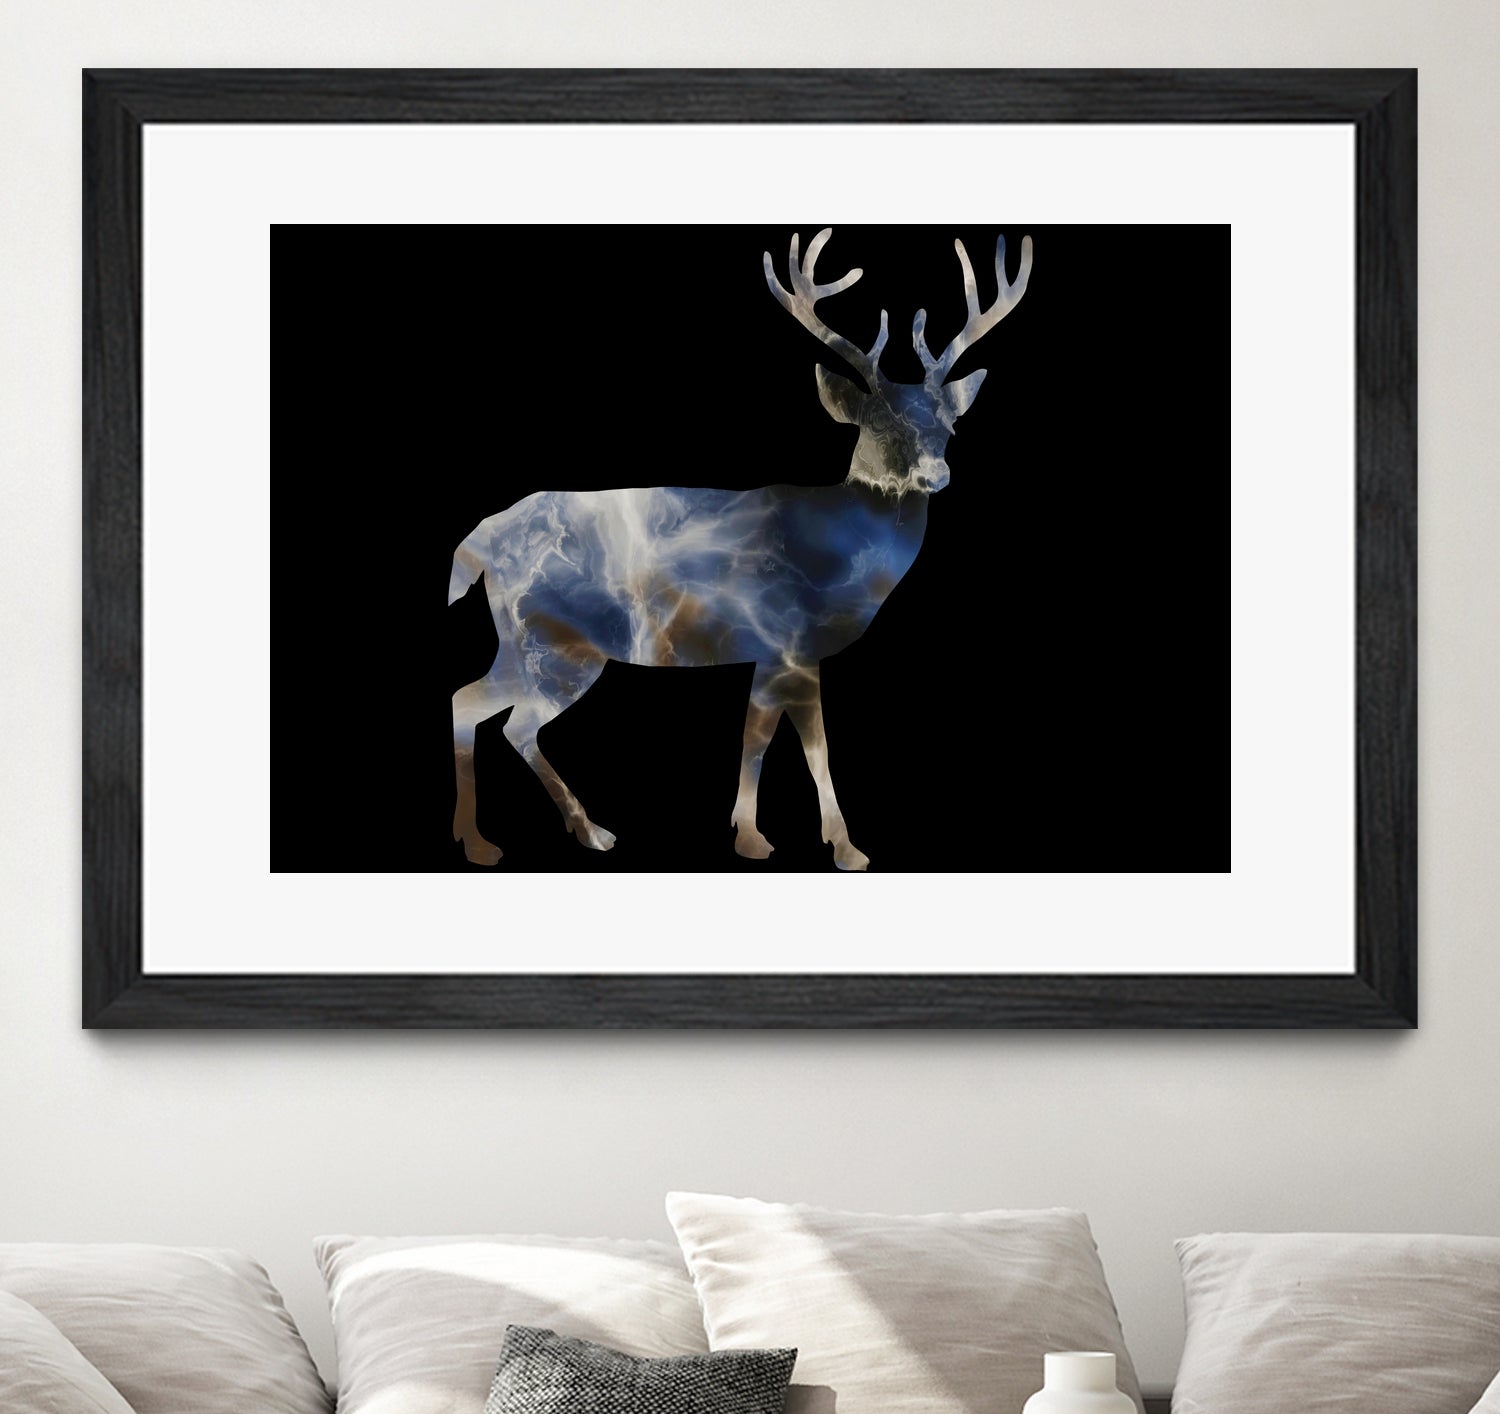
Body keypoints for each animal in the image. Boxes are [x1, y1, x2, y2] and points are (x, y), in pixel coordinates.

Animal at [448, 228, 1032, 870]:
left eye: (949, 426)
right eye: (878, 424)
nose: (936, 474)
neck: (838, 555)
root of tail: (481, 541)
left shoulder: (770, 653)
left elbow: (756, 738)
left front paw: (750, 833)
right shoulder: (791, 642)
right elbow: (808, 747)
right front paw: (839, 846)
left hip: (523, 640)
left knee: (475, 704)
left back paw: (532, 833)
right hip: (556, 643)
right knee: (506, 719)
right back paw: (533, 836)